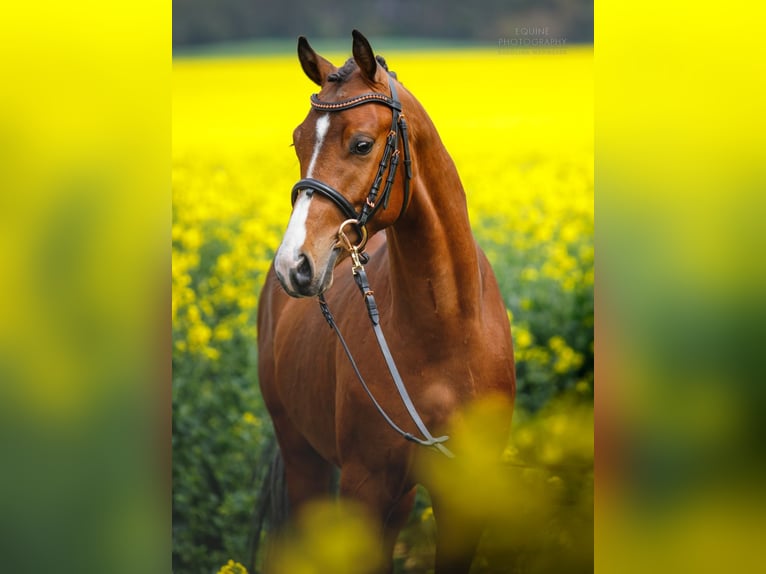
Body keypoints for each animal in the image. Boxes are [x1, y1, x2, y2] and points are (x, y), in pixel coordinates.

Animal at [256, 32, 516, 574]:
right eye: (298, 141)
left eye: (361, 144)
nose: (294, 265)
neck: (445, 328)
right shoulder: (364, 488)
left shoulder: (461, 496)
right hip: (302, 456)